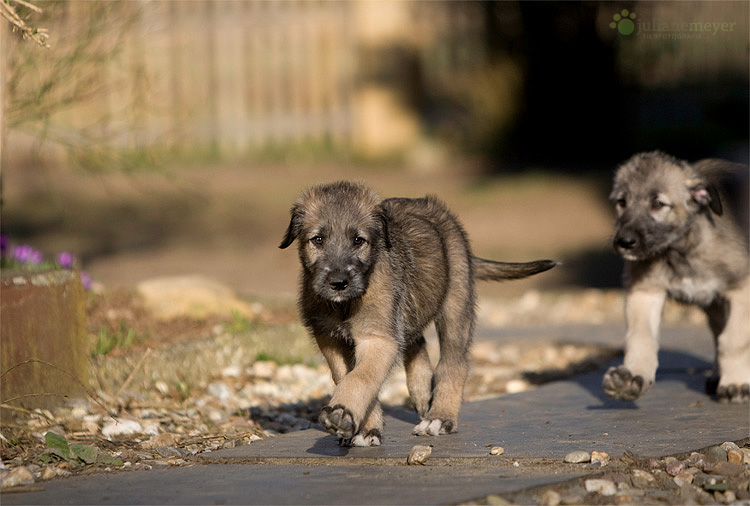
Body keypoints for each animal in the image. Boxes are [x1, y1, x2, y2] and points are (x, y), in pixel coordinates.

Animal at [282, 182, 560, 446]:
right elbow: (347, 376)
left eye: (358, 240)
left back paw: (440, 417)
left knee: (453, 363)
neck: (343, 305)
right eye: (317, 240)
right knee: (416, 341)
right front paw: (365, 427)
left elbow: (361, 377)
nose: (339, 283)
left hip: (455, 306)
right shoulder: (330, 338)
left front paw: (342, 412)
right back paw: (421, 389)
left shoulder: (378, 338)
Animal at [604, 150, 750, 404]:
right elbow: (642, 336)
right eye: (622, 202)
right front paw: (632, 377)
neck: (680, 250)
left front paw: (736, 383)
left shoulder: (742, 288)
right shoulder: (645, 291)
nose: (625, 242)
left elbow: (734, 340)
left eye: (658, 203)